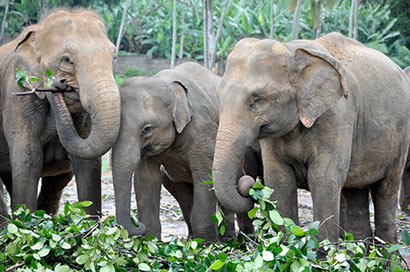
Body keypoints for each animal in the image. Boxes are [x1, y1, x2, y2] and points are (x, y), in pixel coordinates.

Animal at [0, 9, 121, 219]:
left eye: (113, 57)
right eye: (67, 60)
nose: (59, 83)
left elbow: (87, 165)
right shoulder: (17, 99)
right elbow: (28, 163)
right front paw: (25, 223)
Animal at [112, 62, 253, 240]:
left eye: (147, 129)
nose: (137, 224)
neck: (165, 84)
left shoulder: (203, 131)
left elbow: (205, 178)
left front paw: (205, 244)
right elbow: (146, 179)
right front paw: (151, 241)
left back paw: (229, 239)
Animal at [211, 31, 410, 242]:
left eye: (257, 100)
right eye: (219, 96)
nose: (249, 185)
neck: (290, 49)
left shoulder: (336, 117)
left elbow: (324, 179)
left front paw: (322, 250)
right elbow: (279, 180)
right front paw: (288, 246)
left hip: (401, 137)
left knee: (386, 188)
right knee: (356, 191)